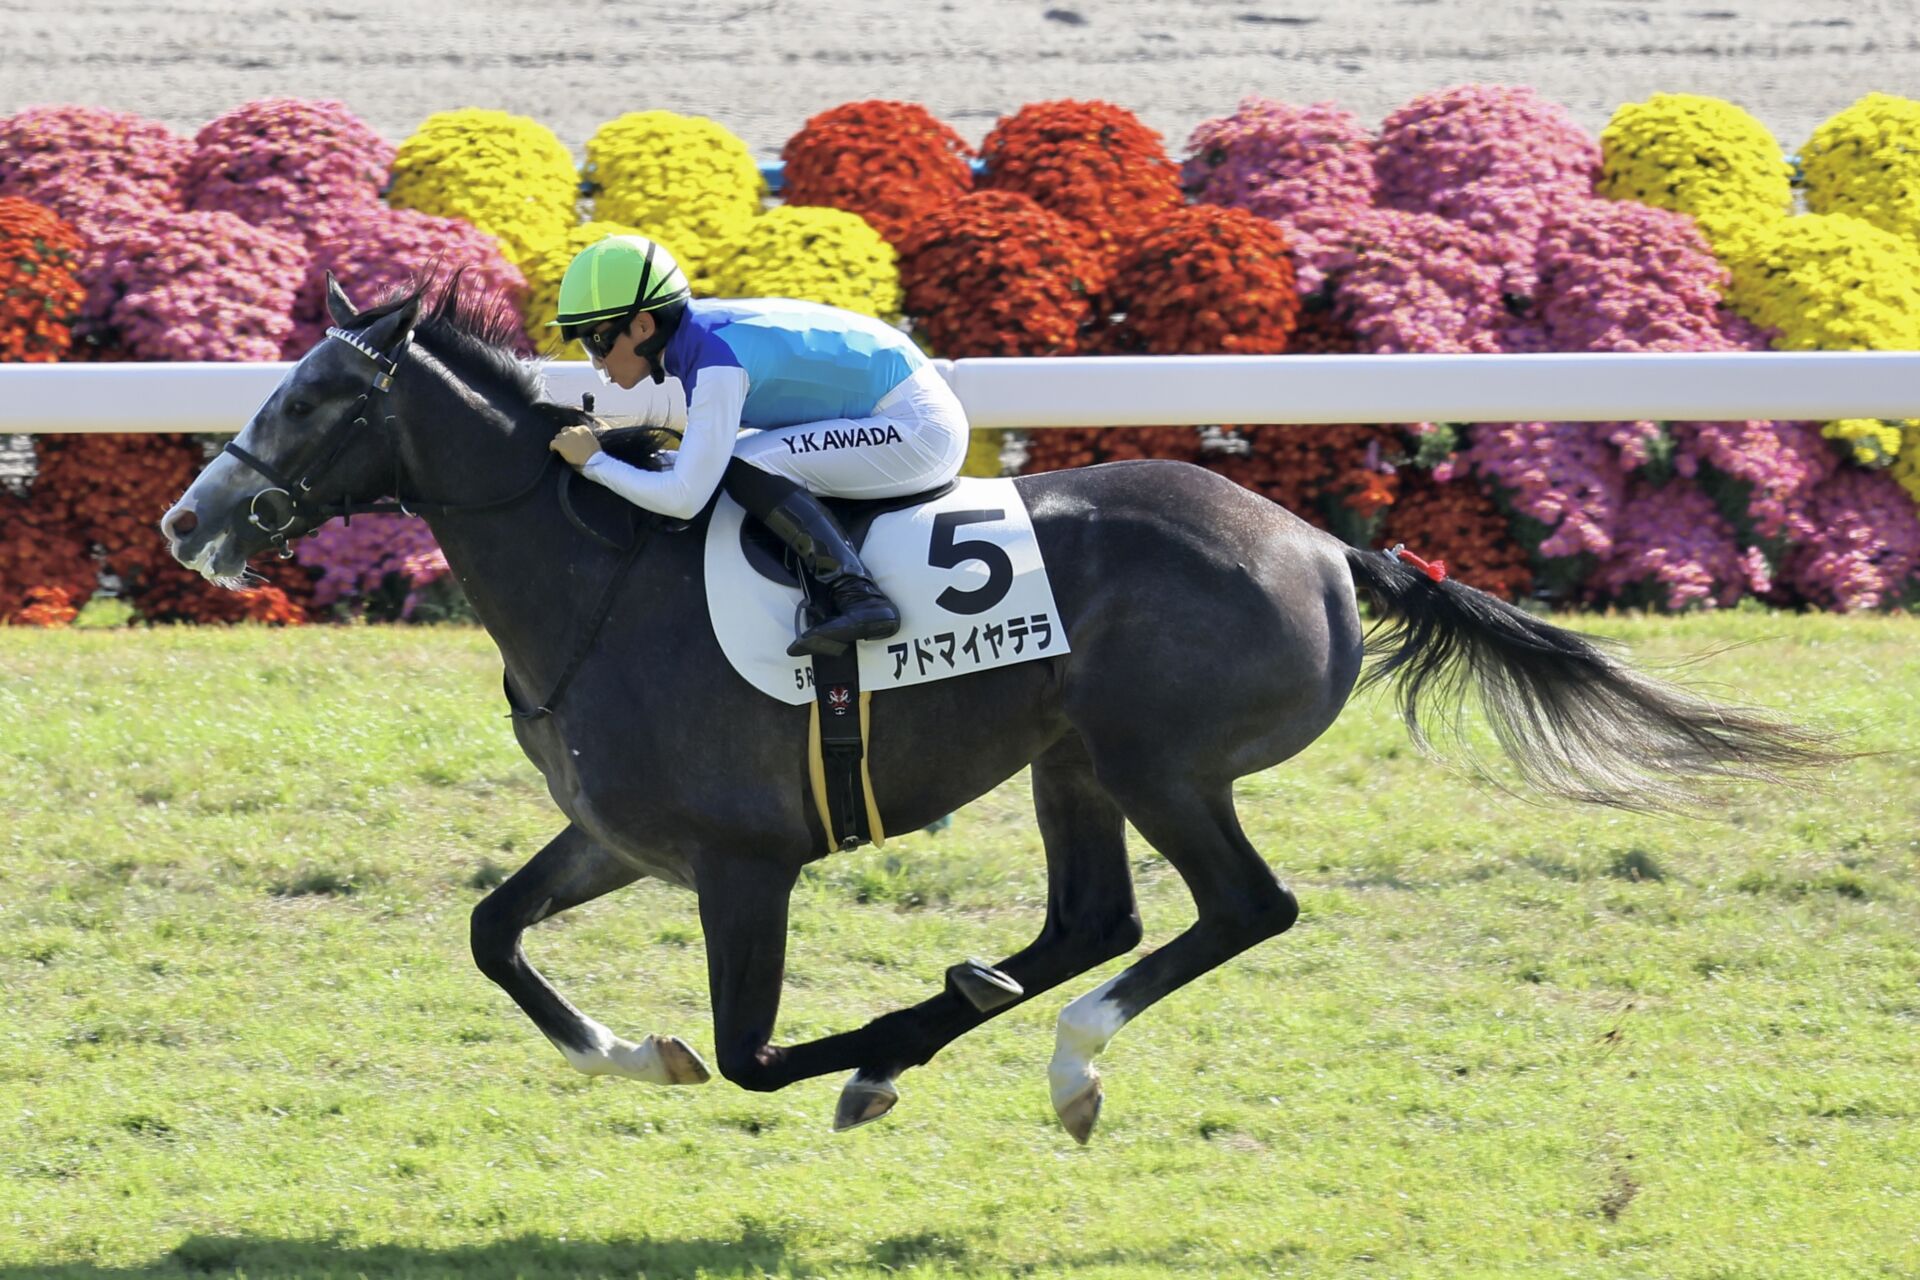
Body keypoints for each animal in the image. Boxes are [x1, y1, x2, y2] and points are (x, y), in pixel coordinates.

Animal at [160, 275, 1834, 1143]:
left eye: (318, 399)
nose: (189, 523)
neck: (596, 579)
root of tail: (1320, 544)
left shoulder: (745, 864)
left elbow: (756, 1055)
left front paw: (850, 1055)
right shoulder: (623, 839)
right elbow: (495, 937)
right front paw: (634, 1053)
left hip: (1166, 764)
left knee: (1240, 912)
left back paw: (1056, 1054)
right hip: (1070, 761)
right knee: (1096, 919)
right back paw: (991, 1026)